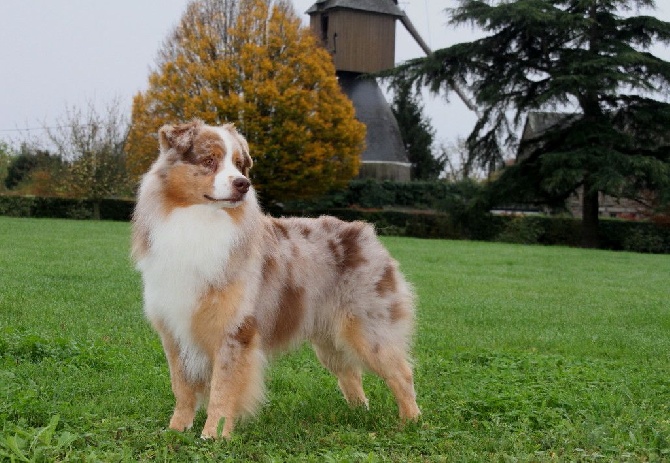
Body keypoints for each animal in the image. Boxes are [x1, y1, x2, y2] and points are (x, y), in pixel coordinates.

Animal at [131, 119, 420, 438]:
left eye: (240, 165)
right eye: (209, 161)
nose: (243, 184)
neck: (201, 220)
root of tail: (367, 233)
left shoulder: (235, 330)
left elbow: (222, 388)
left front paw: (213, 436)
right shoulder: (174, 330)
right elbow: (181, 387)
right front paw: (176, 431)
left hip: (370, 329)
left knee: (402, 373)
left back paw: (411, 423)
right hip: (329, 340)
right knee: (351, 374)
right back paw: (358, 413)